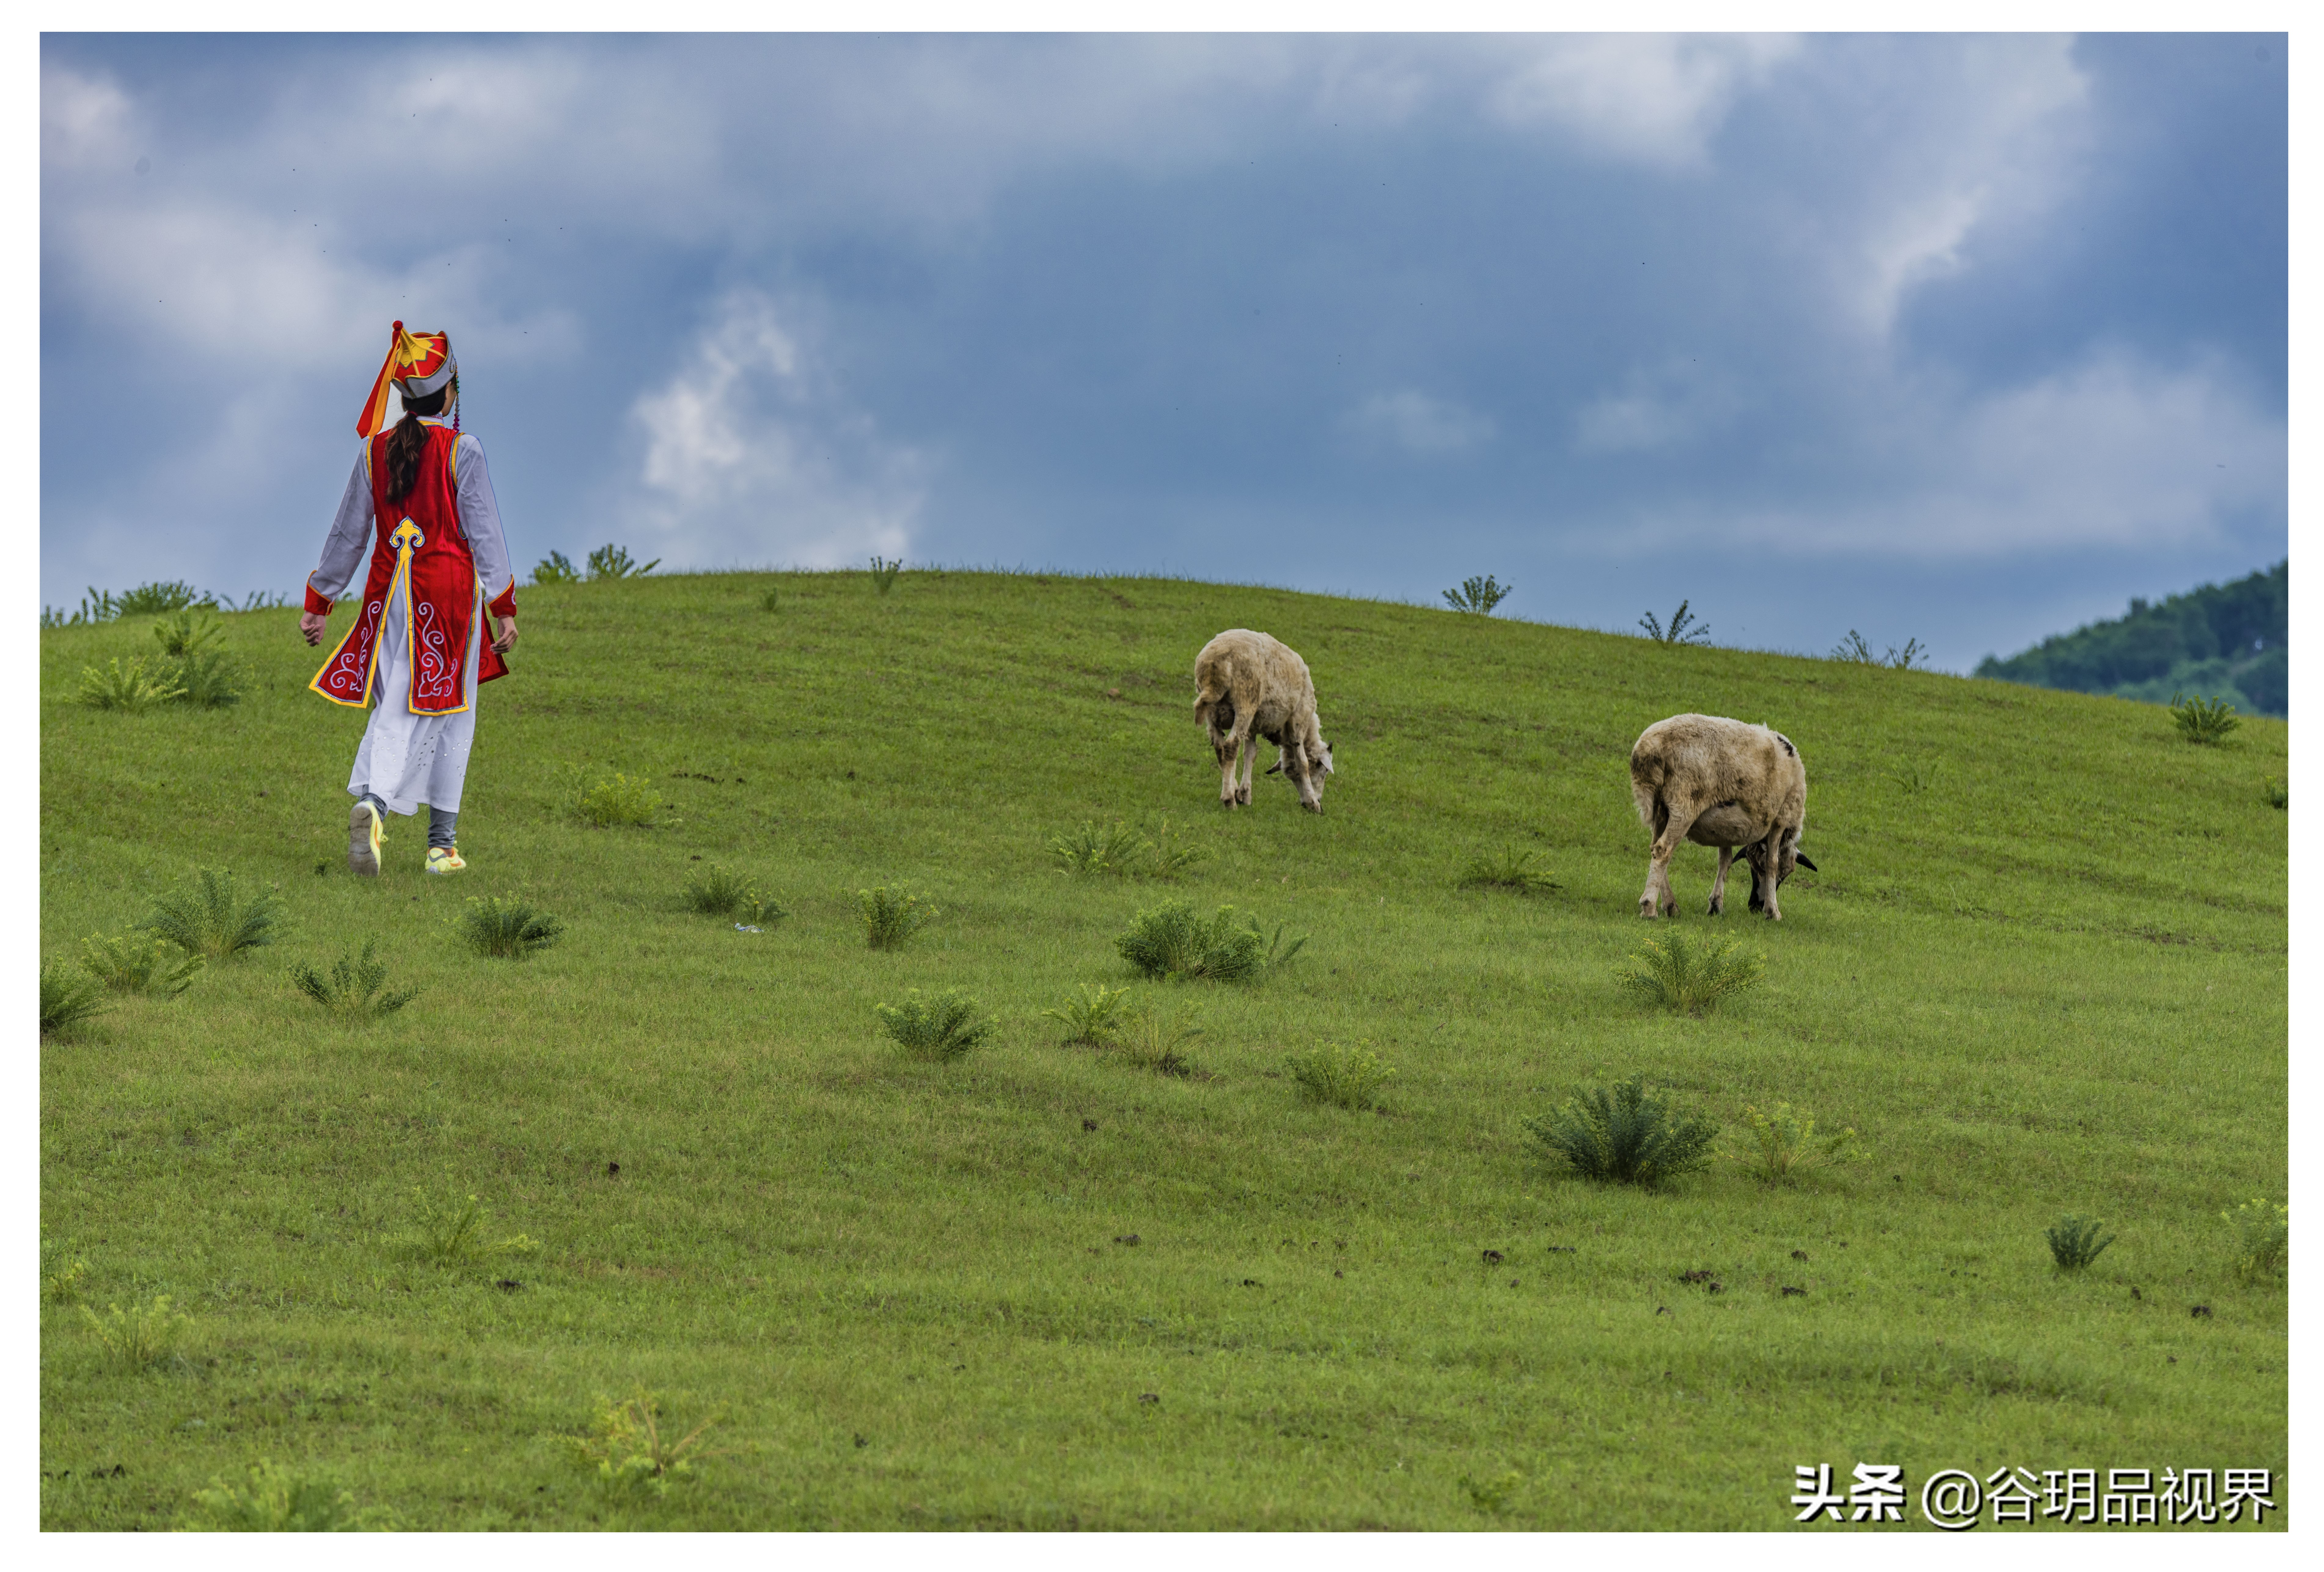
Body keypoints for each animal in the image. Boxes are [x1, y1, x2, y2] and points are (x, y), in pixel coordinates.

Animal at [1199, 628, 1329, 809]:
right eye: (1324, 772)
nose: (1318, 802)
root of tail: (1215, 662)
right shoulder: (1299, 719)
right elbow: (1302, 762)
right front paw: (1313, 803)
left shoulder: (1253, 727)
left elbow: (1250, 754)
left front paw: (1244, 794)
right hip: (1245, 703)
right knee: (1231, 746)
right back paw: (1229, 800)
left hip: (1212, 714)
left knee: (1220, 749)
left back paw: (1230, 791)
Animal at [1627, 716, 1803, 921]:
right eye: (1786, 872)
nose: (1755, 906)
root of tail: (1649, 749)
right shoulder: (1781, 820)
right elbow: (1771, 862)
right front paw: (1773, 912)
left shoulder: (1726, 828)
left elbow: (1725, 862)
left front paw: (1716, 905)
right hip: (1685, 803)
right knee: (1664, 850)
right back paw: (1650, 908)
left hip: (1660, 808)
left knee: (1655, 847)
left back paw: (1671, 906)